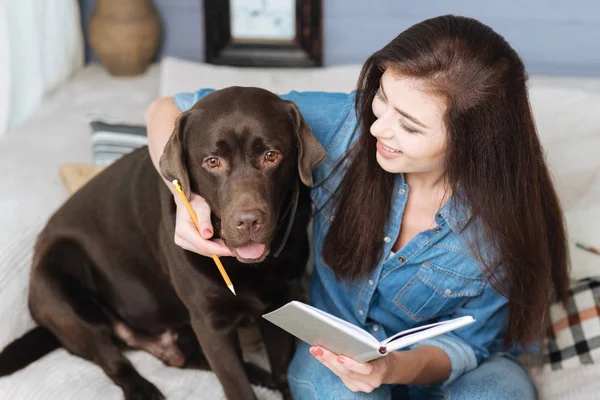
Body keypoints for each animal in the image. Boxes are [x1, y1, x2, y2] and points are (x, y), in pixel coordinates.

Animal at [0, 87, 326, 400]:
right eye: (212, 162)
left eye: (271, 156)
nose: (247, 221)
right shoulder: (210, 322)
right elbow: (236, 386)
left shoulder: (282, 303)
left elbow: (283, 370)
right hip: (58, 284)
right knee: (110, 357)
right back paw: (141, 388)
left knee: (184, 358)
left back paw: (257, 373)